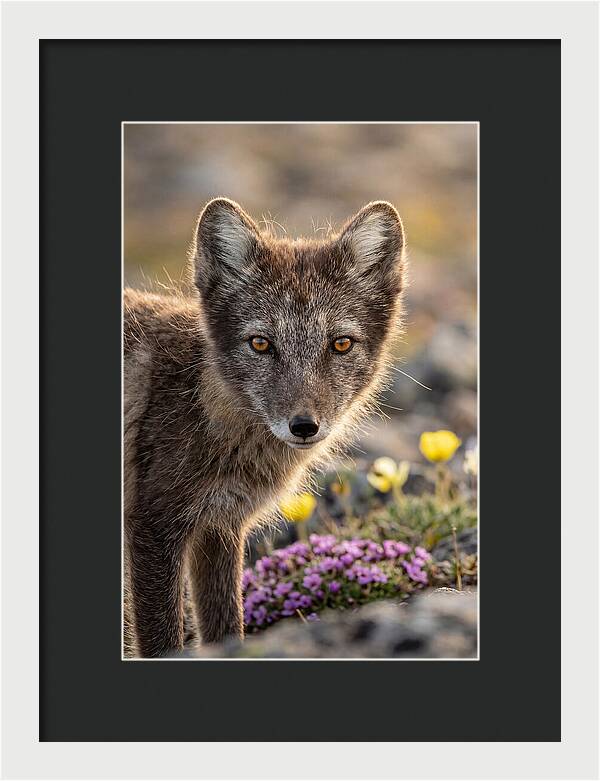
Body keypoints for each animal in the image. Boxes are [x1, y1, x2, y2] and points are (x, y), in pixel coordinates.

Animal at [123, 197, 407, 658]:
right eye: (260, 343)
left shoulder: (219, 528)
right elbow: (163, 641)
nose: (304, 426)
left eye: (341, 344)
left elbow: (226, 628)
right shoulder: (154, 525)